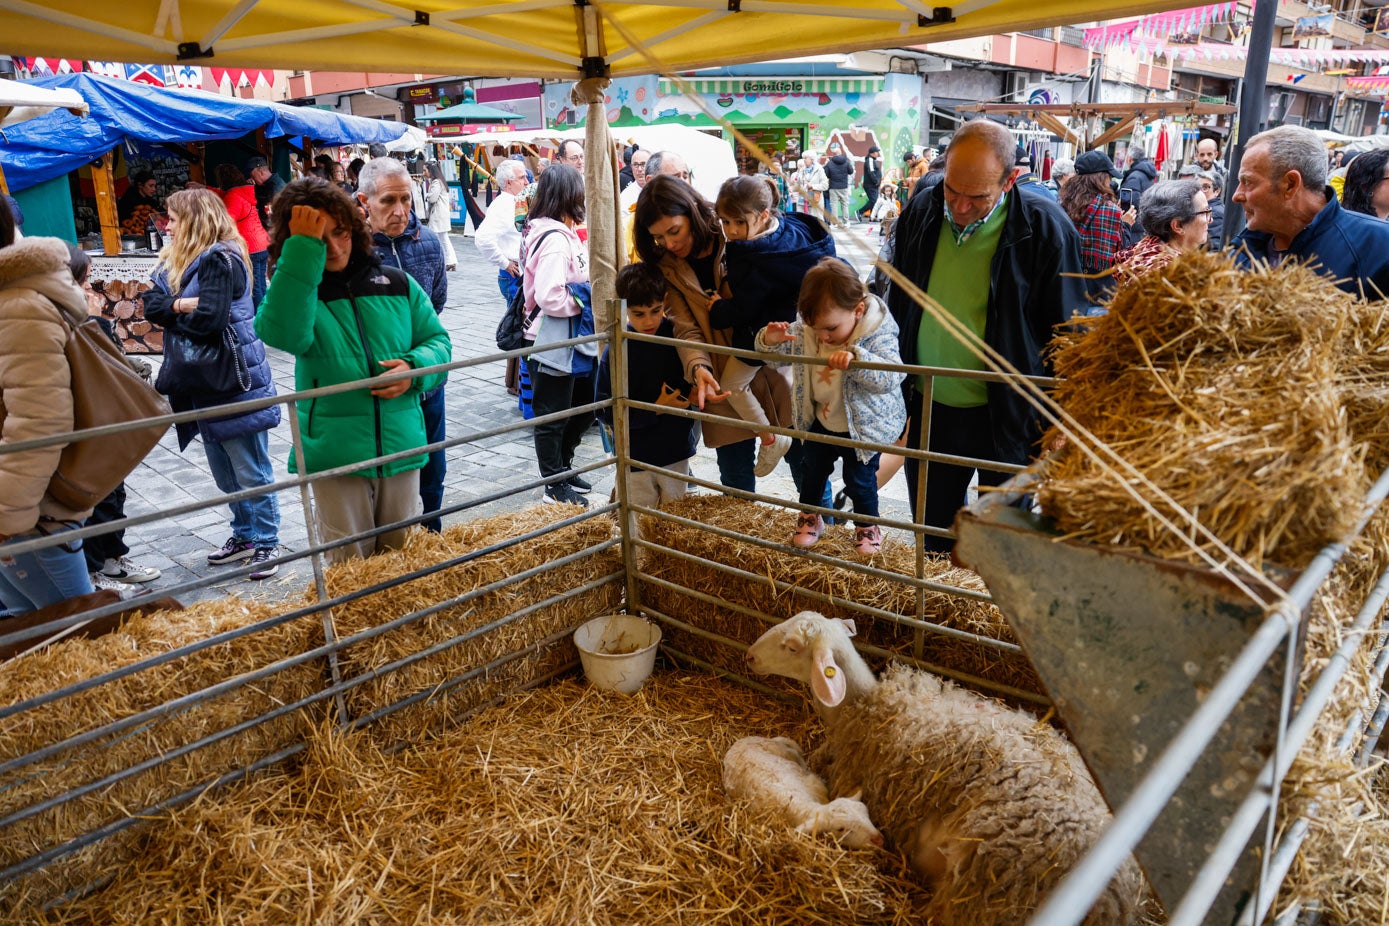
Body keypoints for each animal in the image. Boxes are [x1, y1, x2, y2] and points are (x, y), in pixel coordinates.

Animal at [722, 733, 883, 849]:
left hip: (782, 749)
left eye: (866, 812)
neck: (801, 807)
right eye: (841, 829)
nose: (878, 840)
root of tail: (739, 742)